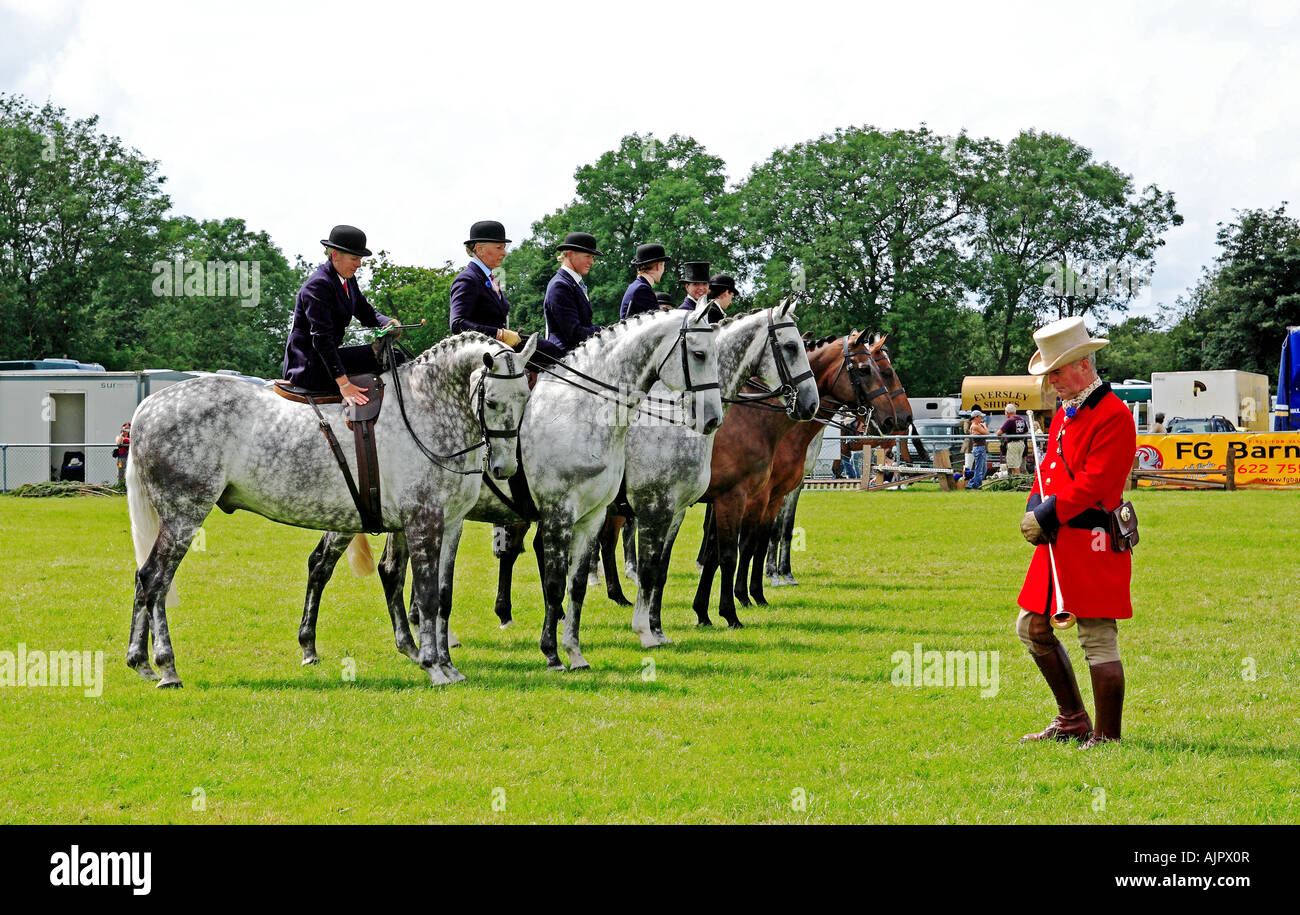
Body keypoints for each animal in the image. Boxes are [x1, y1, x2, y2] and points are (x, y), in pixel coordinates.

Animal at [126, 330, 533, 686]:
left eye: (526, 399)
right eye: (491, 401)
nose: (504, 467)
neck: (423, 412)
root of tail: (148, 406)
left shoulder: (448, 525)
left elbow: (440, 597)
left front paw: (447, 666)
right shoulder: (423, 523)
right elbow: (427, 596)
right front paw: (433, 666)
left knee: (146, 580)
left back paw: (141, 661)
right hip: (184, 517)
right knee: (156, 580)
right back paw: (166, 667)